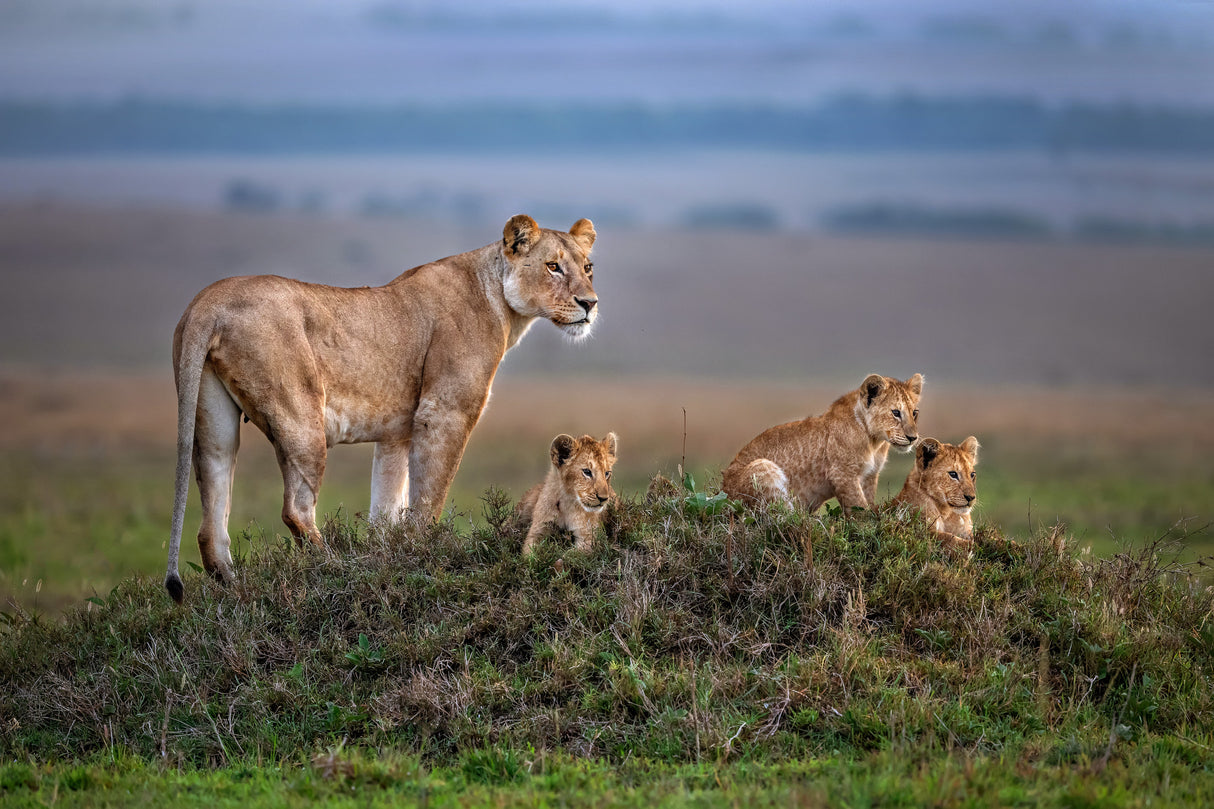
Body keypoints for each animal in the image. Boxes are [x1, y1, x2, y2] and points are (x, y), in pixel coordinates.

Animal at [165, 214, 599, 602]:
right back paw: (333, 568)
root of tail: (208, 302)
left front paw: (389, 556)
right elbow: (429, 497)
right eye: (553, 266)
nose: (590, 303)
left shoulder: (397, 434)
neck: (500, 300)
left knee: (211, 522)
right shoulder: (445, 413)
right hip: (301, 418)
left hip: (213, 421)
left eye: (588, 267)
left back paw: (233, 592)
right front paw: (425, 554)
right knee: (295, 510)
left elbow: (387, 507)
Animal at [720, 373, 923, 513]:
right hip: (761, 467)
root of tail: (721, 492)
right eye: (895, 413)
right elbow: (859, 510)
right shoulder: (843, 474)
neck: (874, 442)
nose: (913, 438)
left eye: (914, 413)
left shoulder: (870, 476)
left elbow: (868, 503)